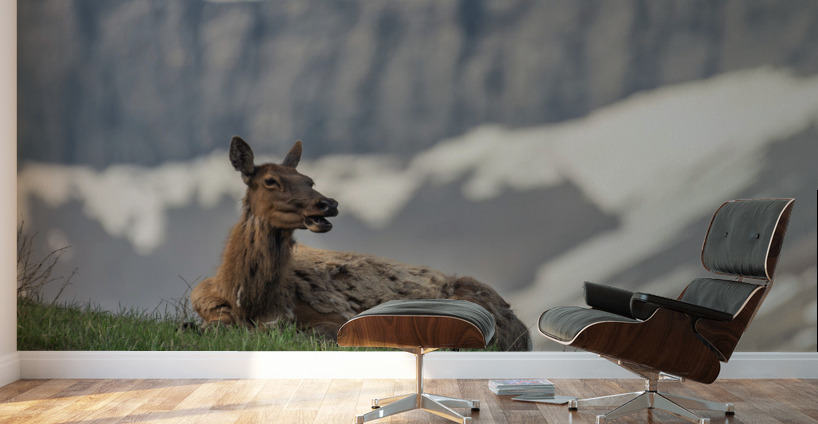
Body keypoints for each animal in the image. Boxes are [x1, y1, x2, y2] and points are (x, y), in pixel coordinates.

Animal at [190, 137, 532, 351]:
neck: (247, 299)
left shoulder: (330, 318)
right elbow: (212, 326)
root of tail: (524, 330)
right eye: (270, 181)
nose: (328, 204)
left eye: (310, 180)